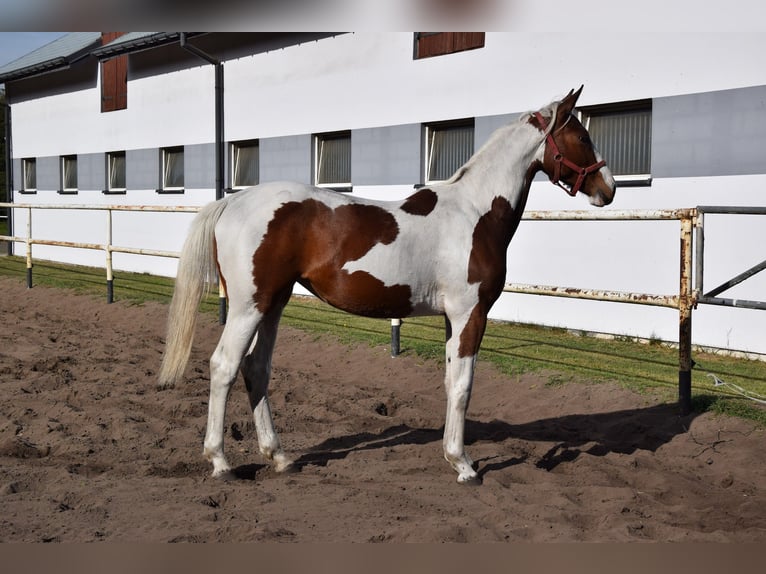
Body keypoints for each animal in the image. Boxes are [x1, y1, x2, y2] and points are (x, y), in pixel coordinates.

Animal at [158, 86, 616, 484]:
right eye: (581, 135)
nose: (608, 188)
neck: (475, 212)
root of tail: (232, 201)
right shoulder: (470, 314)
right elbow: (464, 386)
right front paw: (464, 465)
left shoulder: (452, 318)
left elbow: (450, 382)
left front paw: (451, 455)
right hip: (248, 306)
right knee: (224, 366)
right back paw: (220, 462)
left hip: (274, 302)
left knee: (256, 368)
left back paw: (280, 457)